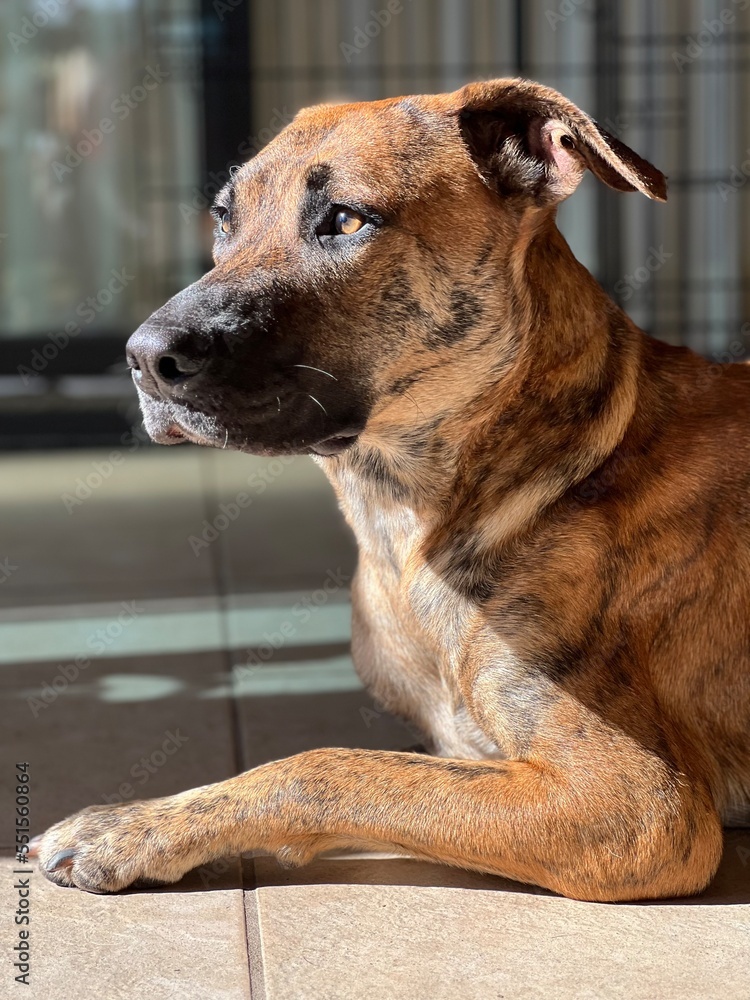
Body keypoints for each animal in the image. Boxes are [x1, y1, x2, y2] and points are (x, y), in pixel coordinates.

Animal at [30, 80, 750, 908]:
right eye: (224, 217)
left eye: (347, 220)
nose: (145, 358)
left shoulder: (635, 803)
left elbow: (326, 765)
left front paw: (128, 826)